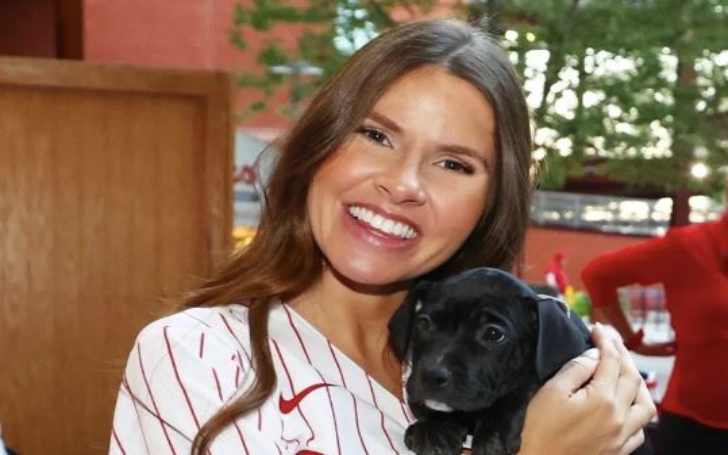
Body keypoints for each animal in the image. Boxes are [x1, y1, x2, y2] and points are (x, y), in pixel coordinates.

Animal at [386, 268, 592, 455]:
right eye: (423, 323)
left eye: (493, 334)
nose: (431, 375)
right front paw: (434, 427)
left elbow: (521, 388)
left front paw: (493, 435)